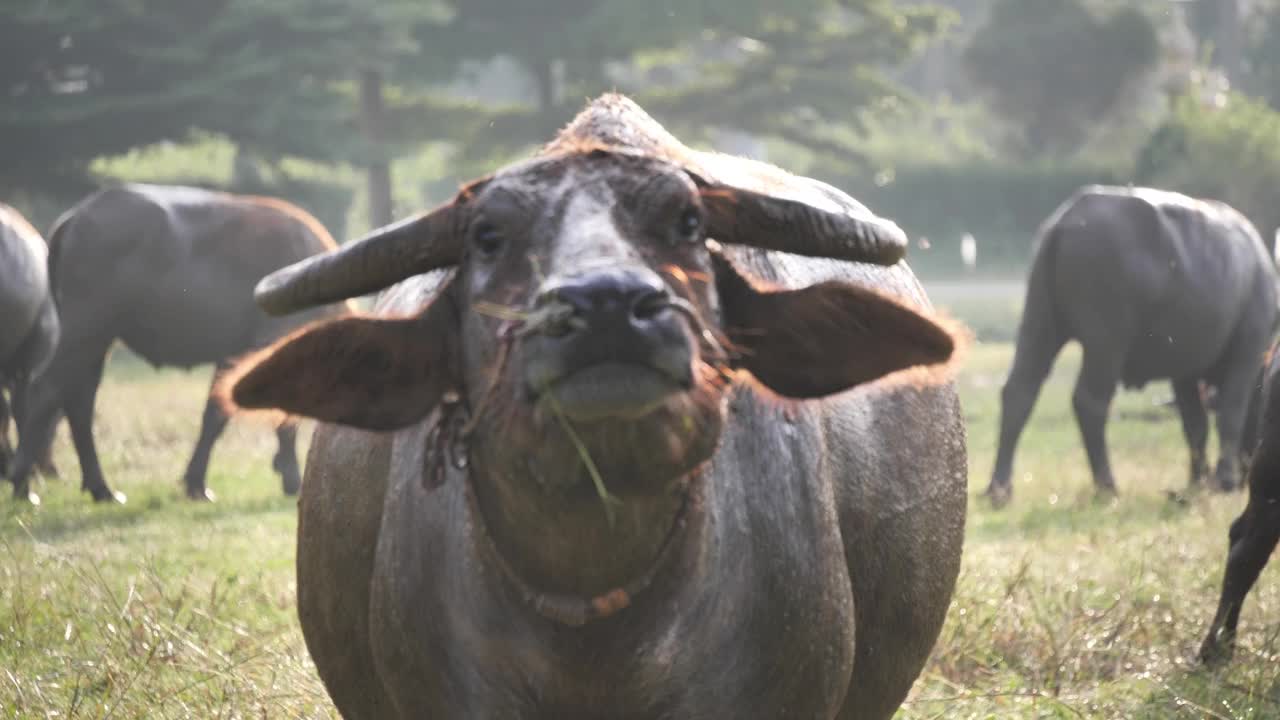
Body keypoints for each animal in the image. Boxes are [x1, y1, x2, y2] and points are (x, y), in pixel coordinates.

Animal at [8, 181, 350, 502]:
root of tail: (76, 217)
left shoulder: (232, 356)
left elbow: (215, 413)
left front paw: (197, 481)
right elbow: (275, 415)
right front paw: (290, 478)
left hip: (98, 339)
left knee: (78, 400)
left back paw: (100, 488)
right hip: (86, 328)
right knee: (47, 390)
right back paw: (23, 483)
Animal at [983, 184, 1274, 504]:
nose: (1247, 476)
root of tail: (1067, 221)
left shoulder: (1183, 370)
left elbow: (1194, 424)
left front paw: (1197, 480)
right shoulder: (1248, 351)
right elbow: (1230, 414)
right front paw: (1222, 479)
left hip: (1040, 322)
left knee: (1019, 391)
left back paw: (1000, 489)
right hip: (1106, 341)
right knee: (1090, 401)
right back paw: (1107, 485)